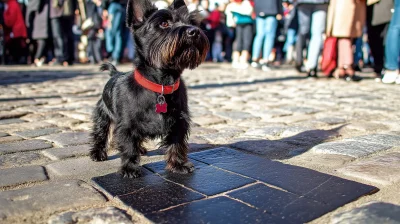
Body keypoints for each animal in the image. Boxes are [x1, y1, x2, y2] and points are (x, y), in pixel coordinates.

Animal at [90, 0, 209, 178]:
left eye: (191, 22)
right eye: (164, 23)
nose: (193, 31)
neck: (162, 84)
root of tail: (115, 73)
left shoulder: (179, 122)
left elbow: (177, 144)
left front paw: (178, 165)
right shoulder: (127, 125)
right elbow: (128, 146)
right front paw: (130, 168)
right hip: (102, 115)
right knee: (100, 134)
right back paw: (97, 153)